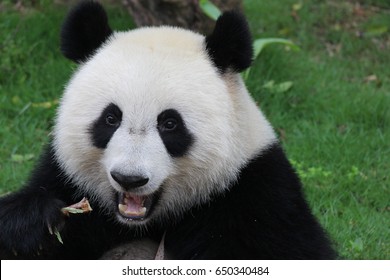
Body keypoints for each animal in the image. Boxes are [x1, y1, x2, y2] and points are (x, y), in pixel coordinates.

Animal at [0, 0, 336, 260]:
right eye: (110, 119)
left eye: (170, 124)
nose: (130, 178)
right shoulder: (62, 175)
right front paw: (36, 221)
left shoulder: (258, 195)